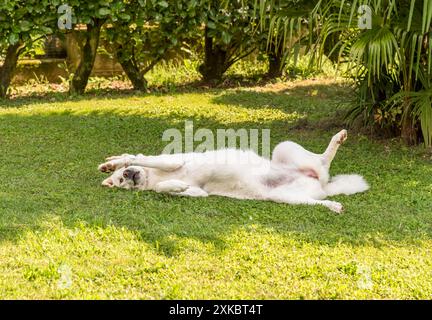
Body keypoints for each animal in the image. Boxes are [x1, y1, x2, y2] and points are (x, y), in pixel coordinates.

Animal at [97, 129, 368, 214]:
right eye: (121, 182)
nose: (128, 176)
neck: (152, 179)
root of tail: (324, 185)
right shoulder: (199, 192)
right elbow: (170, 189)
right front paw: (176, 186)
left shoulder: (172, 162)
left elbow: (144, 158)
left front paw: (120, 160)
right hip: (286, 197)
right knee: (317, 197)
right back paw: (332, 205)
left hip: (284, 147)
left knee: (323, 160)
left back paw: (336, 140)